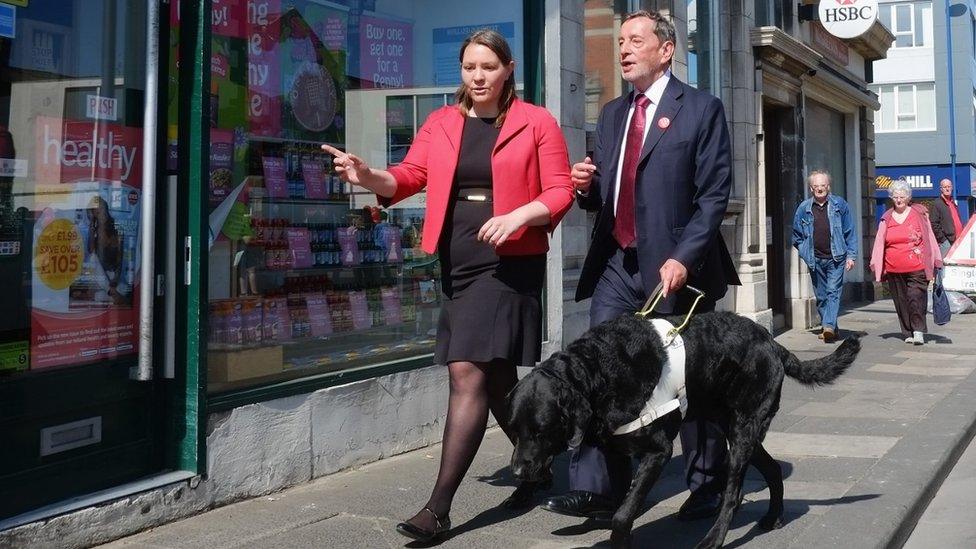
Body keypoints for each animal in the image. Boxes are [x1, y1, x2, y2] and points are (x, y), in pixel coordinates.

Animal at [508, 312, 856, 548]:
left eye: (541, 430)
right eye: (514, 430)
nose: (517, 472)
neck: (599, 371)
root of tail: (773, 343)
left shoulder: (658, 451)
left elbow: (624, 512)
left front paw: (619, 535)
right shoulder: (612, 443)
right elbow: (620, 499)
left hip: (744, 431)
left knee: (733, 493)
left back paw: (714, 538)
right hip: (737, 427)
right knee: (771, 469)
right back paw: (773, 517)